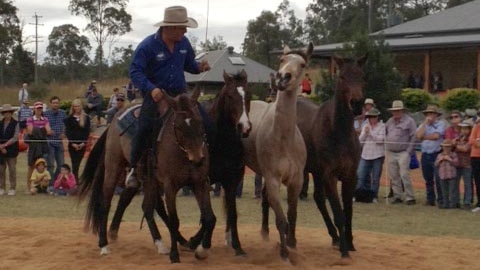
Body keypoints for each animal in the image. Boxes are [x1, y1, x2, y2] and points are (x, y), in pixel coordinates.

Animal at [78, 91, 214, 264]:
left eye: (200, 122)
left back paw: (163, 242)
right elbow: (174, 220)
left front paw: (200, 249)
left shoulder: (200, 183)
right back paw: (104, 245)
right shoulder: (170, 186)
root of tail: (114, 119)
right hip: (113, 169)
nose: (198, 159)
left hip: (150, 181)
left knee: (147, 207)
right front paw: (175, 255)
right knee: (106, 204)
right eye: (178, 126)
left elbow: (209, 217)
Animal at [242, 43, 314, 260]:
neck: (283, 138)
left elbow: (292, 214)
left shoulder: (296, 180)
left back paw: (265, 233)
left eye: (302, 64)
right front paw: (284, 253)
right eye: (282, 60)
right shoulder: (273, 178)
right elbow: (282, 219)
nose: (283, 77)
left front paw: (292, 242)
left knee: (265, 198)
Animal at [296, 54, 368, 258]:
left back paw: (335, 237)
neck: (339, 131)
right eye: (342, 77)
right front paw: (344, 251)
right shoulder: (330, 176)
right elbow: (339, 213)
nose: (357, 103)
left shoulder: (350, 176)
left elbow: (348, 212)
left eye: (362, 76)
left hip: (315, 172)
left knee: (318, 199)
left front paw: (349, 243)